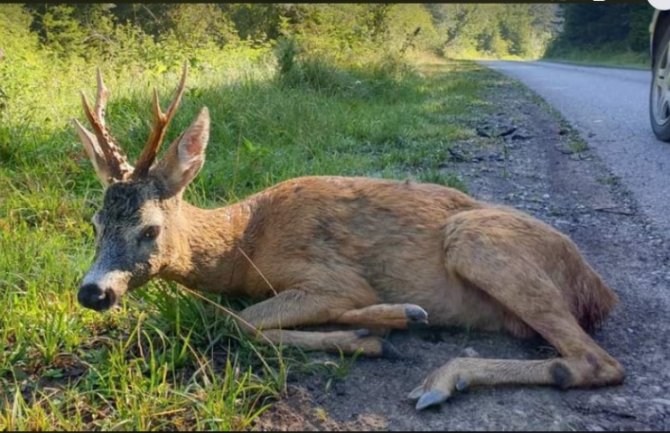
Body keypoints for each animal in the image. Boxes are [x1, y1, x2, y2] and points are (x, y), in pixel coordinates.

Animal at [76, 63, 628, 408]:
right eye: (96, 223)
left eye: (150, 228)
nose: (91, 292)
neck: (244, 241)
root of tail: (600, 290)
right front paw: (381, 327)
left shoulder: (328, 274)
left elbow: (244, 322)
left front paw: (375, 336)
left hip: (475, 240)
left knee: (598, 362)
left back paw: (442, 378)